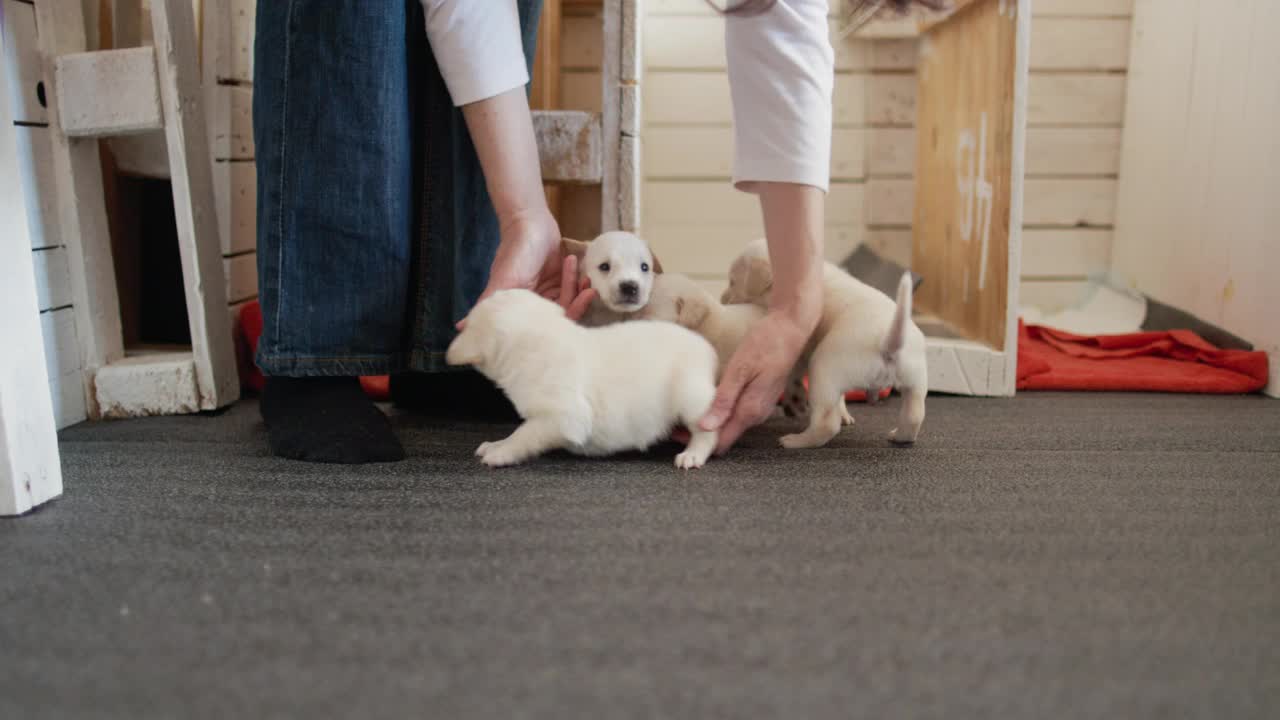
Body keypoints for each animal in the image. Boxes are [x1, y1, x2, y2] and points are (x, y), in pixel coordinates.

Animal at [448, 288, 721, 468]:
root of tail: (707, 348)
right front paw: (496, 444)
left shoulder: (564, 417)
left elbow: (523, 433)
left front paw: (502, 451)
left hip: (692, 398)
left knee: (708, 433)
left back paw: (692, 455)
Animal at [727, 238, 926, 445]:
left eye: (732, 282)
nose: (723, 299)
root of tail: (888, 341)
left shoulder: (801, 346)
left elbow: (793, 373)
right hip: (915, 379)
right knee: (914, 416)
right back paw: (898, 436)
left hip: (823, 370)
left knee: (827, 425)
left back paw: (795, 441)